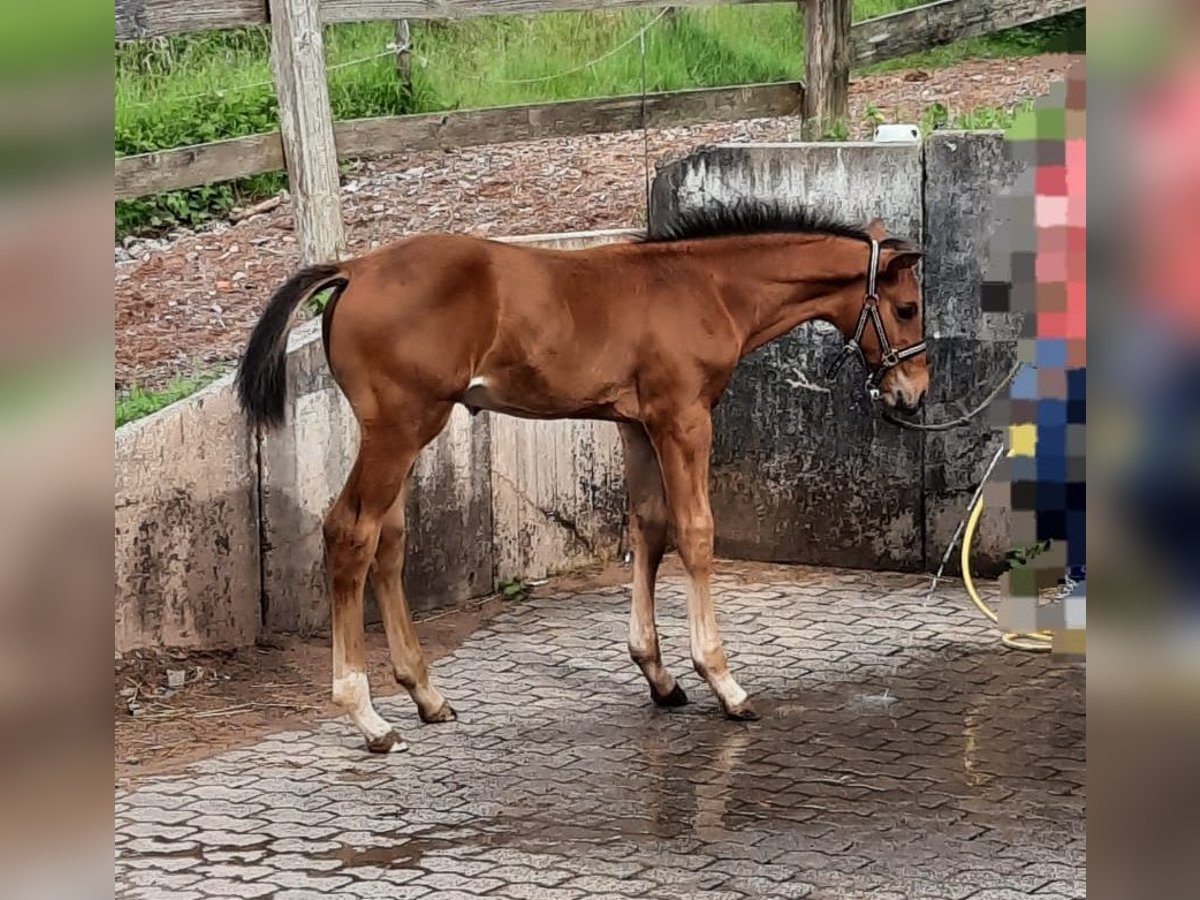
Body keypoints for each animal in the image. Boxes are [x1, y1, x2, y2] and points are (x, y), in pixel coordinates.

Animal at [236, 204, 926, 753]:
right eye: (907, 307)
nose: (912, 394)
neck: (705, 287)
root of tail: (354, 268)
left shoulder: (637, 425)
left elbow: (648, 527)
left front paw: (659, 676)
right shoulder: (683, 418)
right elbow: (695, 533)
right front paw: (724, 683)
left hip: (403, 435)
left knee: (390, 540)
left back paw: (426, 695)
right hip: (401, 429)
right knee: (350, 532)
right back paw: (368, 717)